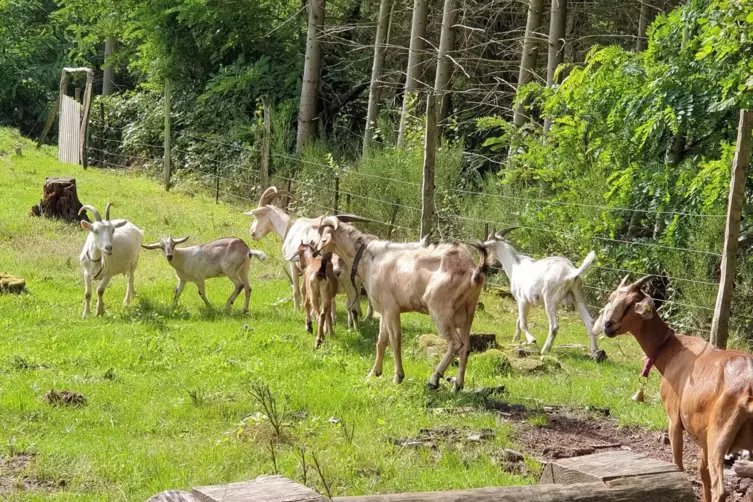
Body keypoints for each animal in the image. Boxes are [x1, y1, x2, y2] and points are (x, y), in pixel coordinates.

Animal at [244, 186, 370, 328]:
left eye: (257, 215)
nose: (252, 233)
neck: (288, 228)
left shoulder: (293, 264)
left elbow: (297, 290)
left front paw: (297, 310)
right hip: (352, 277)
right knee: (352, 299)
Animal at [312, 214, 484, 390]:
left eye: (322, 235)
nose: (314, 249)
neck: (370, 258)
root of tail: (473, 271)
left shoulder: (391, 309)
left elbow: (394, 340)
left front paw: (397, 377)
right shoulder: (383, 311)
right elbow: (381, 341)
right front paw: (374, 373)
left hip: (440, 311)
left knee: (456, 344)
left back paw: (434, 379)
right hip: (469, 313)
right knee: (466, 348)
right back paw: (458, 385)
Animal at [484, 227, 604, 360]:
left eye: (486, 248)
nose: (490, 268)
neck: (515, 265)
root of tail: (572, 272)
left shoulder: (522, 300)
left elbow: (523, 323)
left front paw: (531, 340)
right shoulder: (527, 302)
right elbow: (519, 320)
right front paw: (516, 340)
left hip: (550, 299)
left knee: (554, 326)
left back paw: (545, 350)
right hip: (578, 297)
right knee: (590, 322)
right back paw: (595, 352)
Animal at [592, 274, 752, 502]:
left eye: (632, 303)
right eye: (611, 297)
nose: (608, 325)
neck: (673, 350)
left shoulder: (674, 420)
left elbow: (679, 467)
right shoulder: (702, 435)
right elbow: (702, 473)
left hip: (719, 434)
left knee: (720, 489)